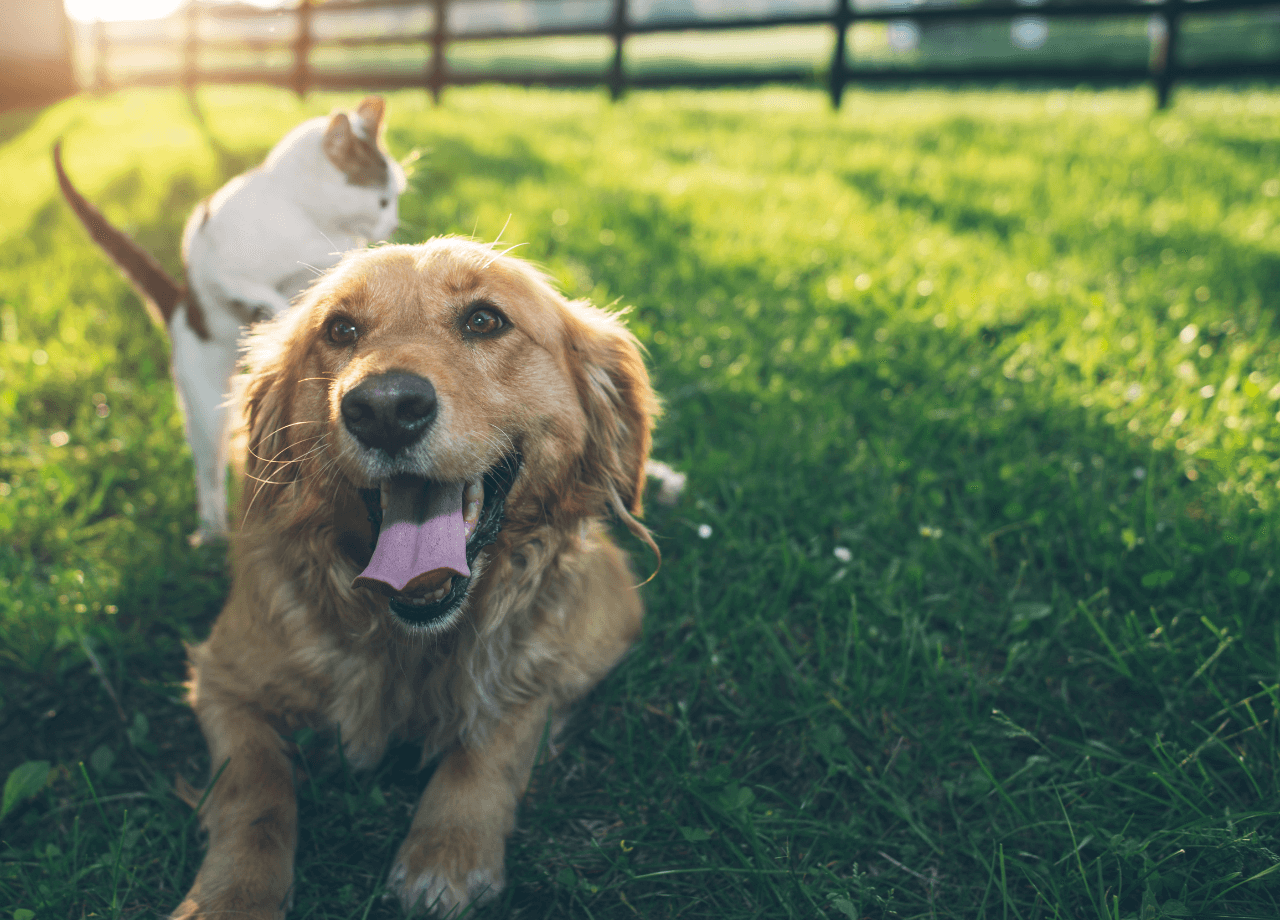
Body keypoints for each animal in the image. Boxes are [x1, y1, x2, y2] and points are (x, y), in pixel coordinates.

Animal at [53, 97, 404, 542]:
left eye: (396, 198)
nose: (393, 223)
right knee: (208, 470)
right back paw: (210, 531)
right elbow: (260, 291)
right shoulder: (218, 268)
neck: (303, 219)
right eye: (382, 201)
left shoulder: (330, 258)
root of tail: (180, 304)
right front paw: (278, 318)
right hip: (205, 405)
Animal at [172, 239, 660, 920]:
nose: (384, 409)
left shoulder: (588, 637)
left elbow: (499, 732)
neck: (409, 644)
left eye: (484, 319)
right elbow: (255, 788)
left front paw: (447, 848)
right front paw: (232, 894)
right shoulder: (223, 678)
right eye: (340, 330)